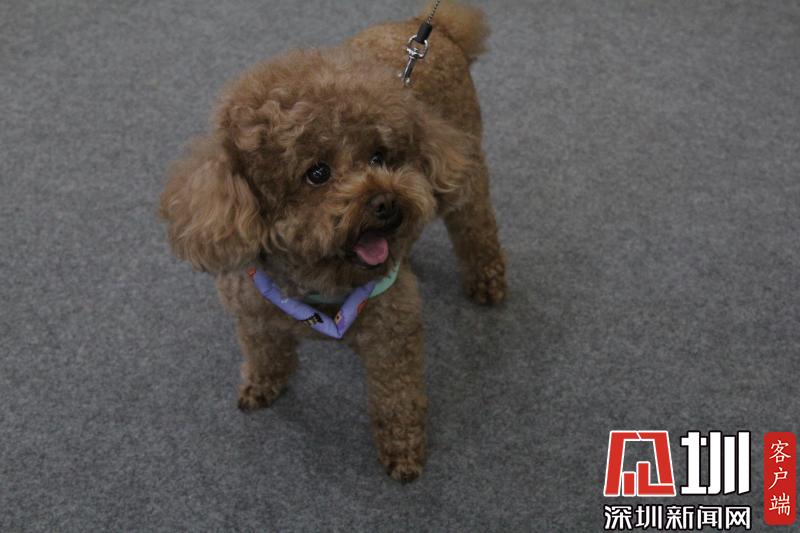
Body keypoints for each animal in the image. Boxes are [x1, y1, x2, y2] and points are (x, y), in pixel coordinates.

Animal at [159, 2, 506, 482]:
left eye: (379, 156)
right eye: (317, 173)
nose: (387, 203)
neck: (316, 283)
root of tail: (433, 29)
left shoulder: (391, 335)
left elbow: (396, 400)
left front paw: (403, 451)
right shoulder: (253, 315)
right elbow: (265, 354)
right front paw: (262, 385)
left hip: (465, 172)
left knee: (476, 228)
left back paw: (486, 280)